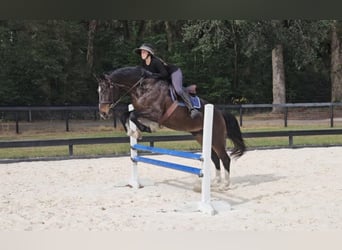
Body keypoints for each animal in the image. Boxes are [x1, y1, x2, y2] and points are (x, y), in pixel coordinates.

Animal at [97, 65, 246, 188]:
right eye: (99, 90)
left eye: (106, 89)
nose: (103, 113)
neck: (143, 88)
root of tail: (220, 112)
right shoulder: (142, 111)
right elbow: (125, 115)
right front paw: (133, 132)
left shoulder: (155, 113)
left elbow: (132, 115)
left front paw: (145, 130)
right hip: (201, 136)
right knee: (215, 158)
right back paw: (216, 182)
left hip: (216, 138)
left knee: (225, 158)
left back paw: (225, 185)